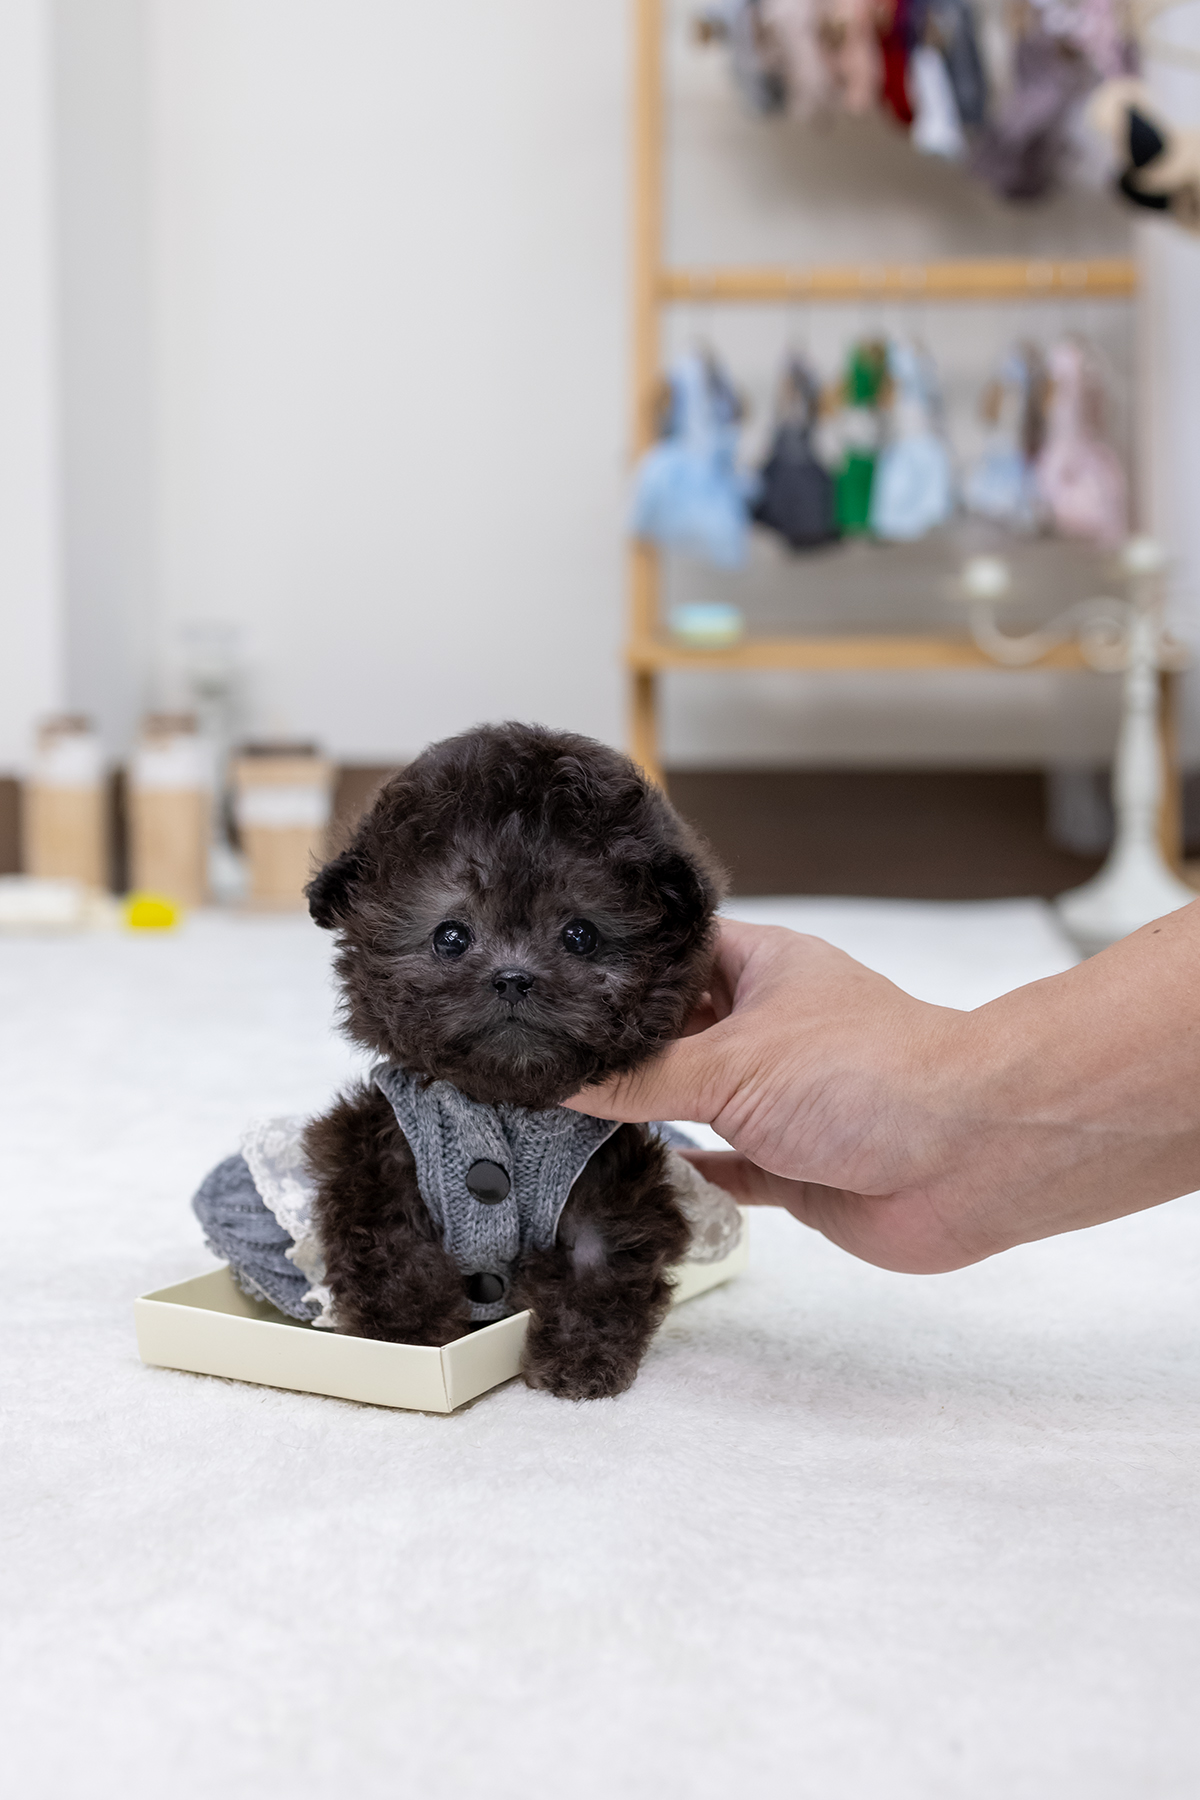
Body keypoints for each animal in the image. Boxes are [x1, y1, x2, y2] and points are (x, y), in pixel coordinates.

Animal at [305, 723, 726, 1396]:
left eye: (580, 934)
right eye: (450, 937)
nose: (512, 978)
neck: (506, 1099)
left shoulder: (606, 1184)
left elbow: (596, 1272)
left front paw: (582, 1360)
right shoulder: (380, 1154)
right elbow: (392, 1251)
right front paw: (406, 1341)